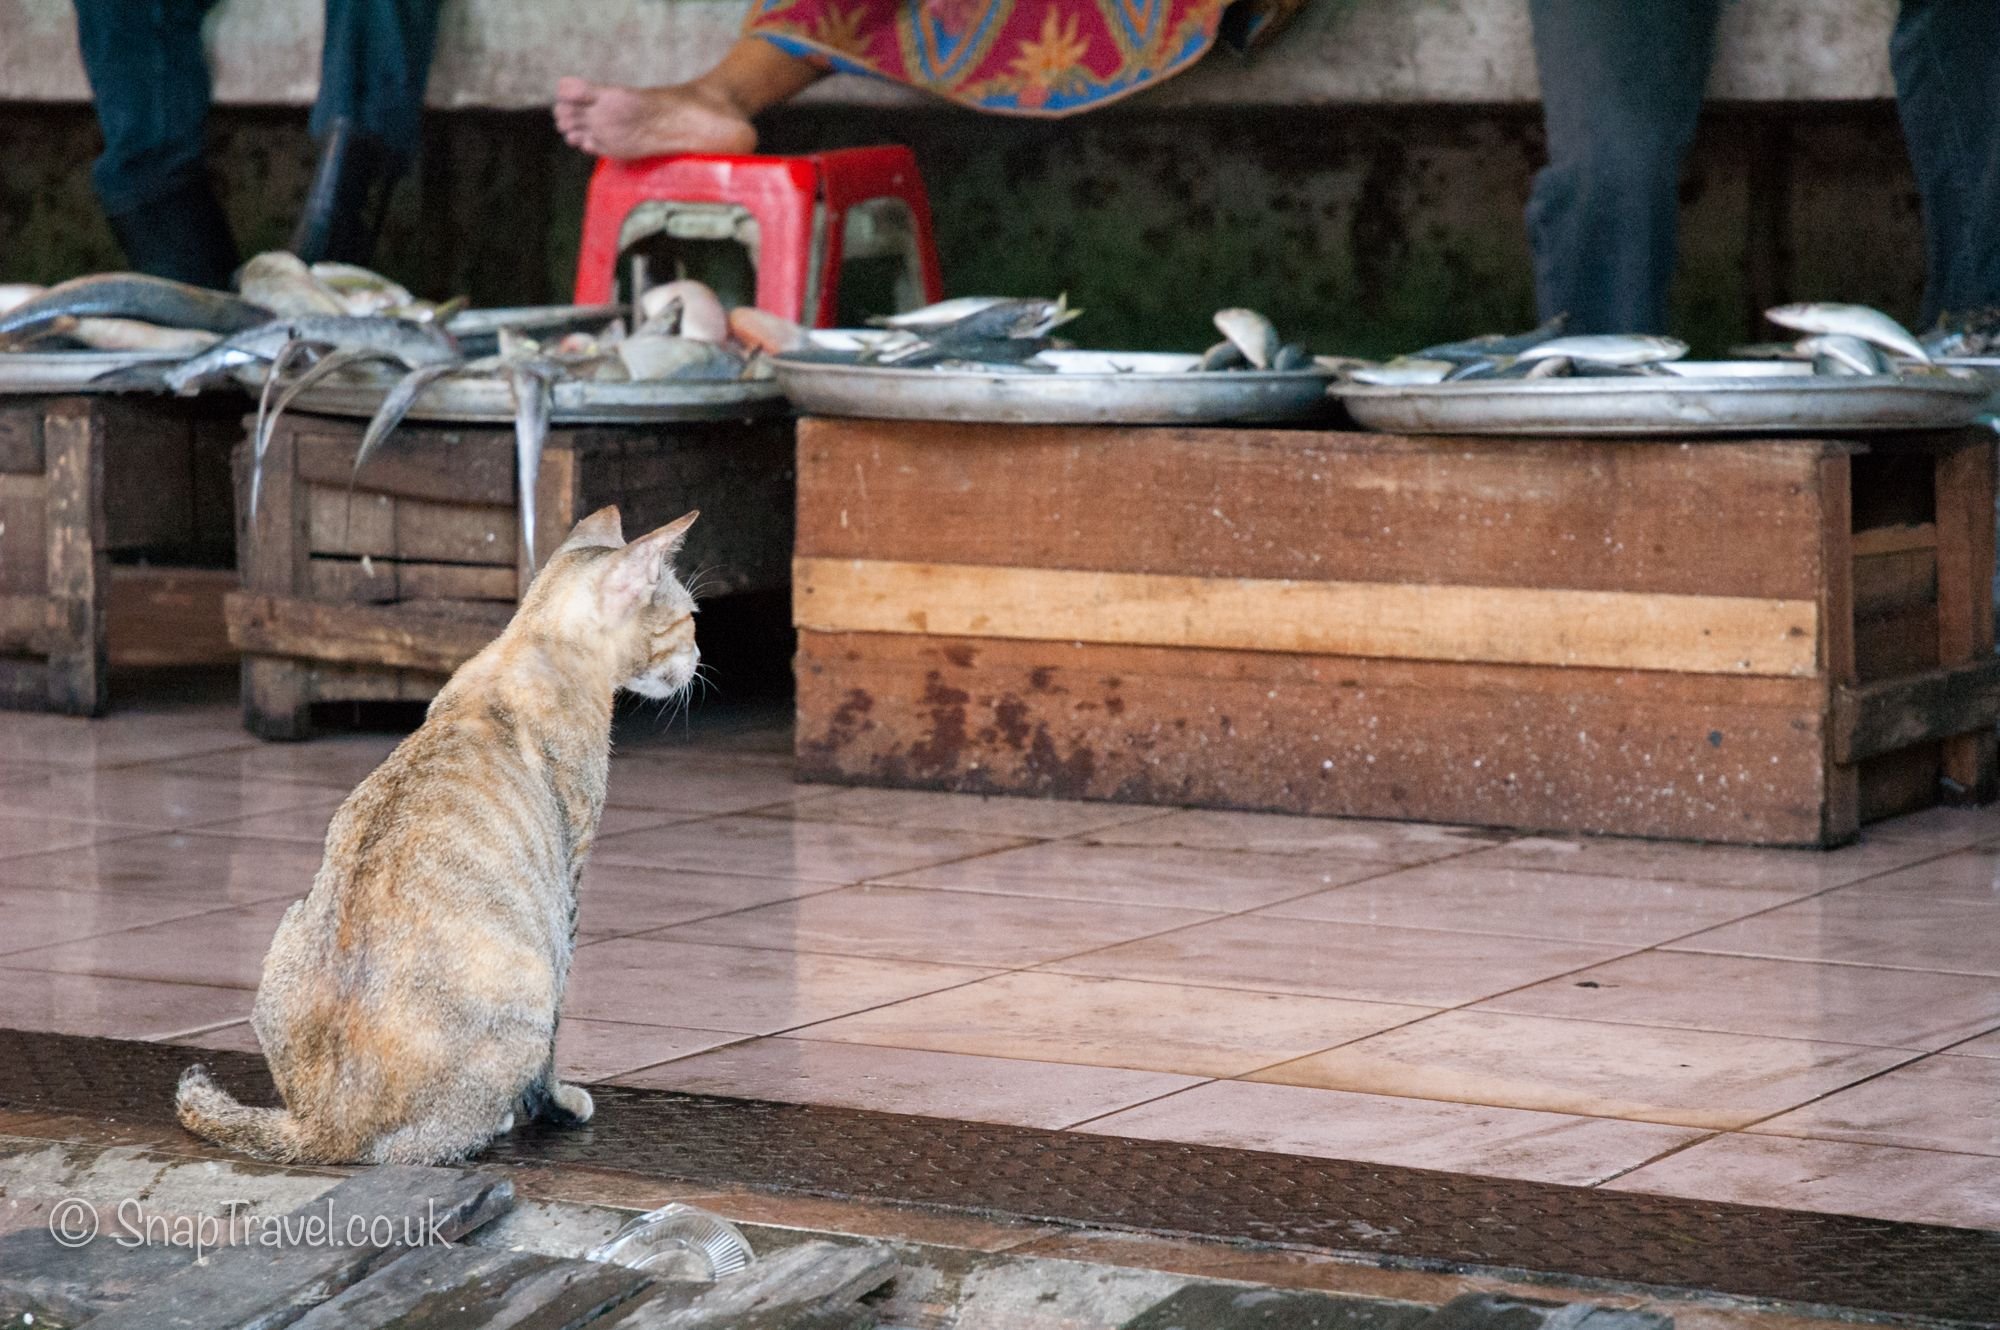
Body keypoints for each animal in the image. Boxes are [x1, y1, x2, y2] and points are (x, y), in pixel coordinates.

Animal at [176, 504, 704, 1160]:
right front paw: (556, 1104)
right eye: (690, 619)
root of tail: (319, 1124)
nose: (701, 656)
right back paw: (494, 1119)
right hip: (527, 976)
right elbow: (557, 1038)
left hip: (290, 923)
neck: (532, 639)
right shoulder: (570, 880)